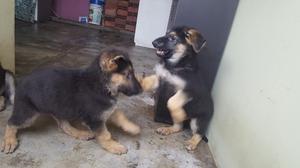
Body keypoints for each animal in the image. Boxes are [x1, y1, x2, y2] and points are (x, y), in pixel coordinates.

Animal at [1, 49, 142, 155]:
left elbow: (119, 114)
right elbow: (104, 134)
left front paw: (132, 127)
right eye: (127, 74)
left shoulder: (106, 108)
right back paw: (9, 141)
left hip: (59, 108)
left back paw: (79, 133)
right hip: (28, 113)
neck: (102, 84)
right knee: (11, 123)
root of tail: (20, 83)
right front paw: (114, 146)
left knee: (63, 125)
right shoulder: (95, 118)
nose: (140, 90)